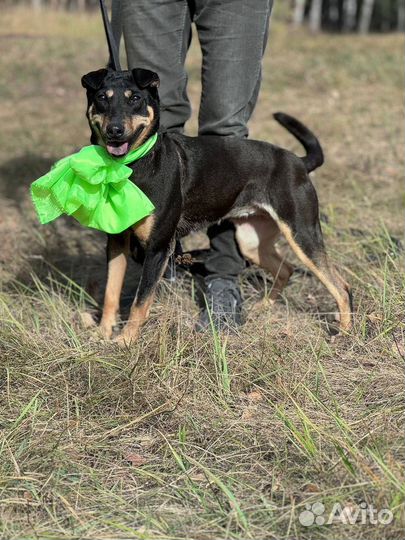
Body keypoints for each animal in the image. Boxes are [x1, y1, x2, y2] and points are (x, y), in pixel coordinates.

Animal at [81, 68, 350, 346]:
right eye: (102, 97)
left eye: (134, 98)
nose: (115, 130)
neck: (132, 166)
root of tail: (299, 162)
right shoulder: (116, 241)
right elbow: (111, 292)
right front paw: (102, 333)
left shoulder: (158, 247)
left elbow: (140, 301)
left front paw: (125, 341)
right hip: (251, 240)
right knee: (287, 269)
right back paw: (262, 307)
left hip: (301, 233)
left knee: (341, 286)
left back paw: (344, 332)